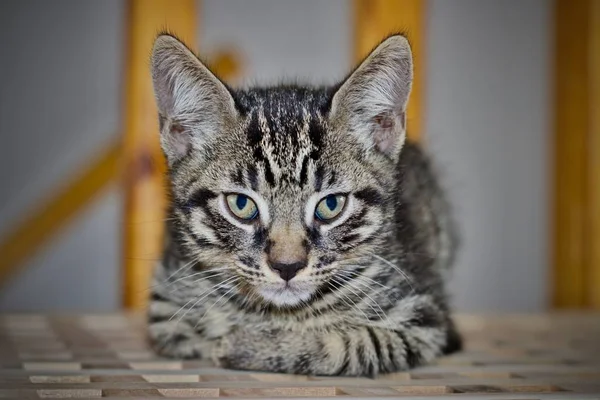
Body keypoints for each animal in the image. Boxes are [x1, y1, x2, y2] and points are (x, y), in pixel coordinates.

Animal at [148, 32, 462, 376]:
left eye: (331, 205)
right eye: (241, 204)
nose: (287, 266)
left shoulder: (424, 319)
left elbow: (348, 344)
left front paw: (244, 345)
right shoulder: (164, 309)